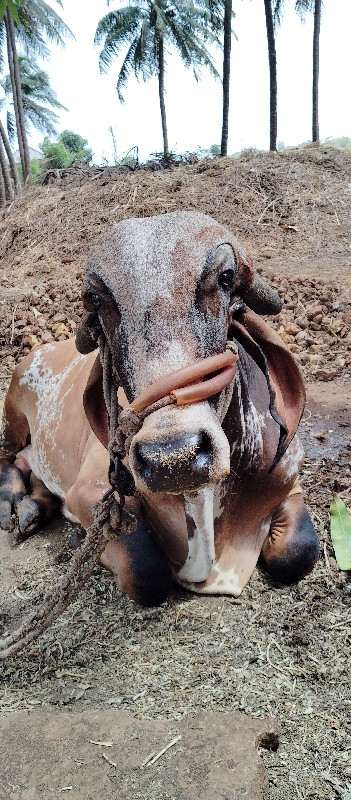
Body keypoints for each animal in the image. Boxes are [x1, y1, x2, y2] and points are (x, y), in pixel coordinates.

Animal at [0, 212, 320, 656]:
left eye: (225, 277)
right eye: (96, 299)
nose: (174, 457)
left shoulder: (289, 482)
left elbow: (299, 552)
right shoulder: (91, 493)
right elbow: (146, 573)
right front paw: (80, 540)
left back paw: (35, 506)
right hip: (12, 414)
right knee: (8, 458)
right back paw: (14, 501)